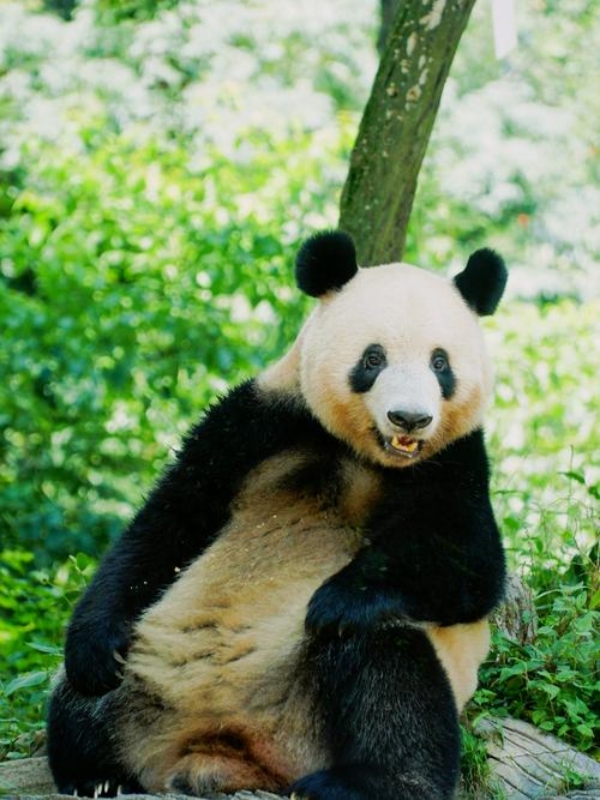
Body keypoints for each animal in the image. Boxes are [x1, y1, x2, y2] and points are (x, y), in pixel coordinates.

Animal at [47, 231, 507, 800]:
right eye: (373, 358)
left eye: (440, 364)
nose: (410, 418)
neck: (364, 453)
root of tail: (218, 749)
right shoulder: (258, 423)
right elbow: (167, 525)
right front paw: (94, 648)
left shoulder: (455, 461)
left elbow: (470, 565)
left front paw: (337, 600)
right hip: (147, 668)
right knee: (78, 701)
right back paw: (96, 773)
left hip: (309, 712)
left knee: (387, 665)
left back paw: (366, 781)